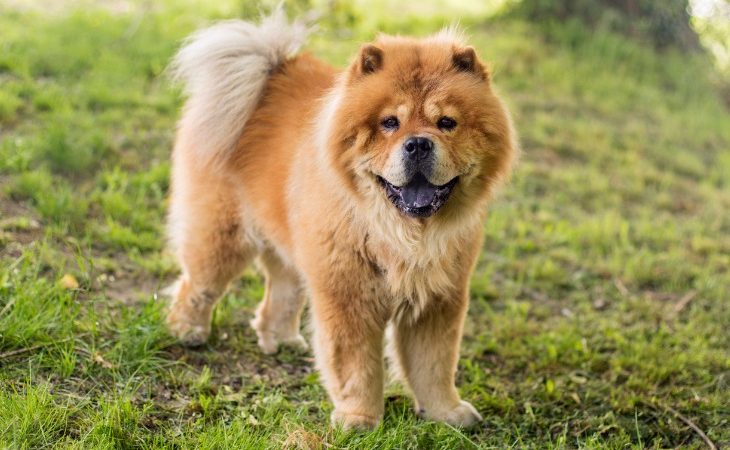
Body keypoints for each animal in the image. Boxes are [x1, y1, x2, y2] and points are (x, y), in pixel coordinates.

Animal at [165, 8, 516, 428]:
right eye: (389, 123)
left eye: (447, 123)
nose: (417, 144)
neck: (402, 235)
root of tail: (269, 70)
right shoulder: (348, 297)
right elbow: (356, 366)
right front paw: (359, 419)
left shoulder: (438, 301)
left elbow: (434, 365)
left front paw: (446, 412)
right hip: (223, 238)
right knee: (197, 285)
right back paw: (187, 331)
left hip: (296, 249)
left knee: (281, 293)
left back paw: (281, 340)